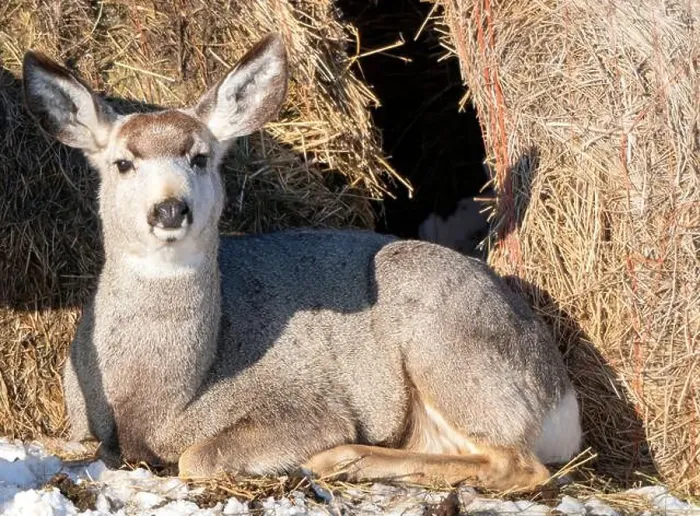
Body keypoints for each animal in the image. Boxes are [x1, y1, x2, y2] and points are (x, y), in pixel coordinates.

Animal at [22, 34, 581, 492]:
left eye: (200, 157)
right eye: (122, 162)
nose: (169, 209)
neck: (156, 402)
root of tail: (563, 397)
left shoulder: (307, 407)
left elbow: (196, 458)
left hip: (452, 349)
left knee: (521, 465)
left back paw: (338, 460)